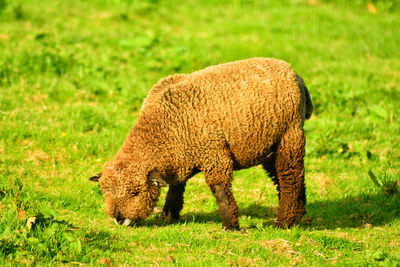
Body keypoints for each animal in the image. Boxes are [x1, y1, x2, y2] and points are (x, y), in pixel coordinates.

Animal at [90, 58, 312, 230]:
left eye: (136, 192)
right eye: (104, 191)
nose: (118, 219)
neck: (163, 129)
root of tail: (294, 74)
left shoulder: (215, 155)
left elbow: (221, 191)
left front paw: (231, 226)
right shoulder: (178, 161)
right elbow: (176, 188)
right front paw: (168, 216)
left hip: (290, 136)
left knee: (290, 178)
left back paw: (284, 222)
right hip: (270, 146)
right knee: (288, 178)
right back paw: (299, 213)